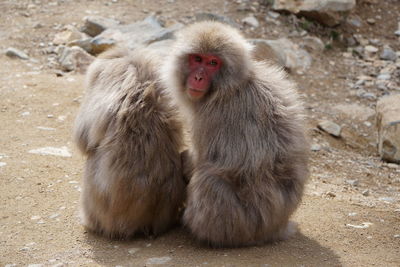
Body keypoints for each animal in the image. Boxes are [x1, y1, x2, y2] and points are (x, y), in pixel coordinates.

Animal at [162, 21, 310, 249]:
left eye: (213, 62)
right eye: (197, 59)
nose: (198, 77)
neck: (231, 86)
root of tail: (277, 227)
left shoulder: (212, 116)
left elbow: (202, 161)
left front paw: (186, 161)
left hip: (245, 224)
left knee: (209, 181)